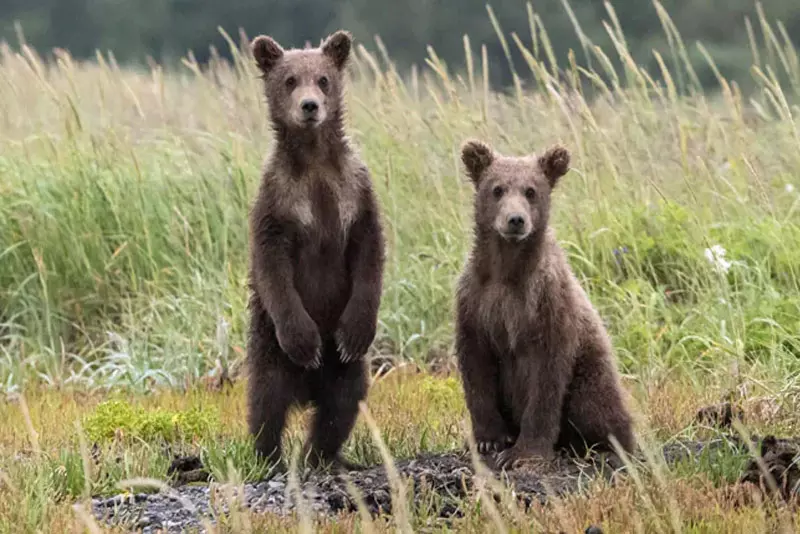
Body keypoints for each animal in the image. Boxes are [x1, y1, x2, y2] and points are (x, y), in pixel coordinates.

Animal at [248, 31, 386, 472]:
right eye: (290, 79)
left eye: (323, 79)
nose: (310, 106)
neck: (314, 162)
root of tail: (307, 390)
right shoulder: (278, 201)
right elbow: (273, 266)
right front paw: (305, 342)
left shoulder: (354, 191)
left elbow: (369, 252)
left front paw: (355, 332)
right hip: (268, 345)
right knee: (266, 399)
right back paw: (269, 457)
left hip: (344, 370)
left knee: (342, 403)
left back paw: (323, 456)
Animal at [456, 140, 632, 472]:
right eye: (497, 189)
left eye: (531, 190)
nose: (515, 220)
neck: (507, 271)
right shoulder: (475, 301)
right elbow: (476, 367)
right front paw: (489, 440)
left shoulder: (547, 305)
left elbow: (546, 380)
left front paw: (523, 453)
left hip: (591, 371)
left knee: (597, 406)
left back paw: (607, 448)